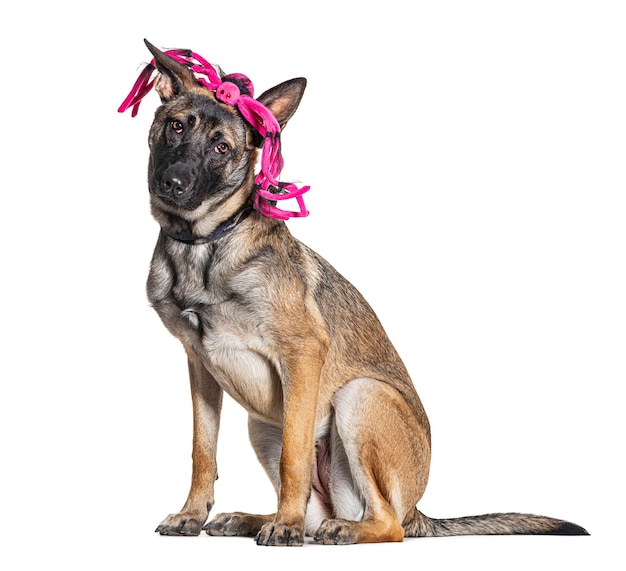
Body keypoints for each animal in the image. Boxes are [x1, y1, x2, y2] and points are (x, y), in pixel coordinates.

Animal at [119, 40, 588, 544]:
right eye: (176, 126)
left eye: (222, 147)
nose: (173, 183)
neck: (206, 245)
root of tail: (417, 511)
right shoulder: (200, 366)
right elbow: (202, 450)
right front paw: (192, 513)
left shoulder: (302, 354)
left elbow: (294, 458)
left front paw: (282, 526)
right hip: (261, 424)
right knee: (313, 511)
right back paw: (254, 519)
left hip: (359, 397)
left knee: (384, 524)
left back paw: (327, 527)